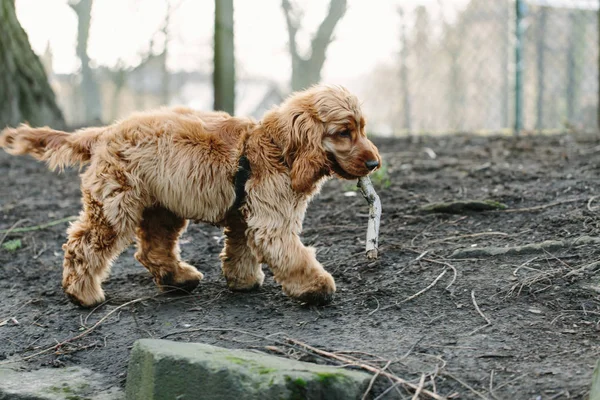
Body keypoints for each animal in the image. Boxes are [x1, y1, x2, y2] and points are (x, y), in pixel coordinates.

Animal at [1, 86, 380, 308]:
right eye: (344, 132)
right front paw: (316, 287)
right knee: (82, 245)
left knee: (152, 249)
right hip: (115, 206)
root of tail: (105, 132)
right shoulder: (271, 221)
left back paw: (178, 278)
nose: (375, 163)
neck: (276, 146)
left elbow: (240, 248)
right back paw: (83, 295)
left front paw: (243, 281)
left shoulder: (244, 214)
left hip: (162, 207)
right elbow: (292, 254)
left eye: (363, 128)